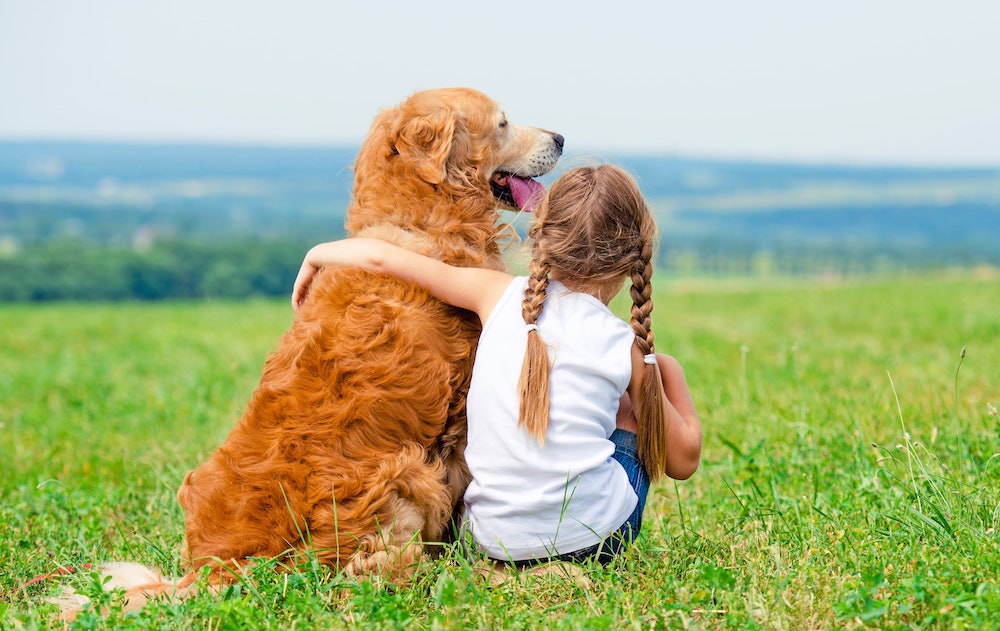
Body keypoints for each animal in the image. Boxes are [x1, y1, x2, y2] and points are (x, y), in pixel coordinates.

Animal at [62, 89, 564, 616]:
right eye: (503, 123)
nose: (561, 139)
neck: (417, 218)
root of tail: (217, 569)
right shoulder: (459, 418)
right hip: (407, 471)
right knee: (388, 574)